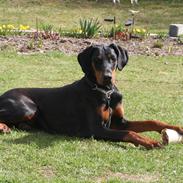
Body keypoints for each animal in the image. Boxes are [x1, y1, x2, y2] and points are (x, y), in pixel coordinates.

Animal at [0, 44, 182, 149]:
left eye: (113, 58)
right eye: (97, 60)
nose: (108, 77)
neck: (106, 92)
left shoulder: (119, 122)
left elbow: (151, 122)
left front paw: (177, 128)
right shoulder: (96, 129)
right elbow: (129, 133)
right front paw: (151, 142)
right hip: (28, 108)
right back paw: (4, 127)